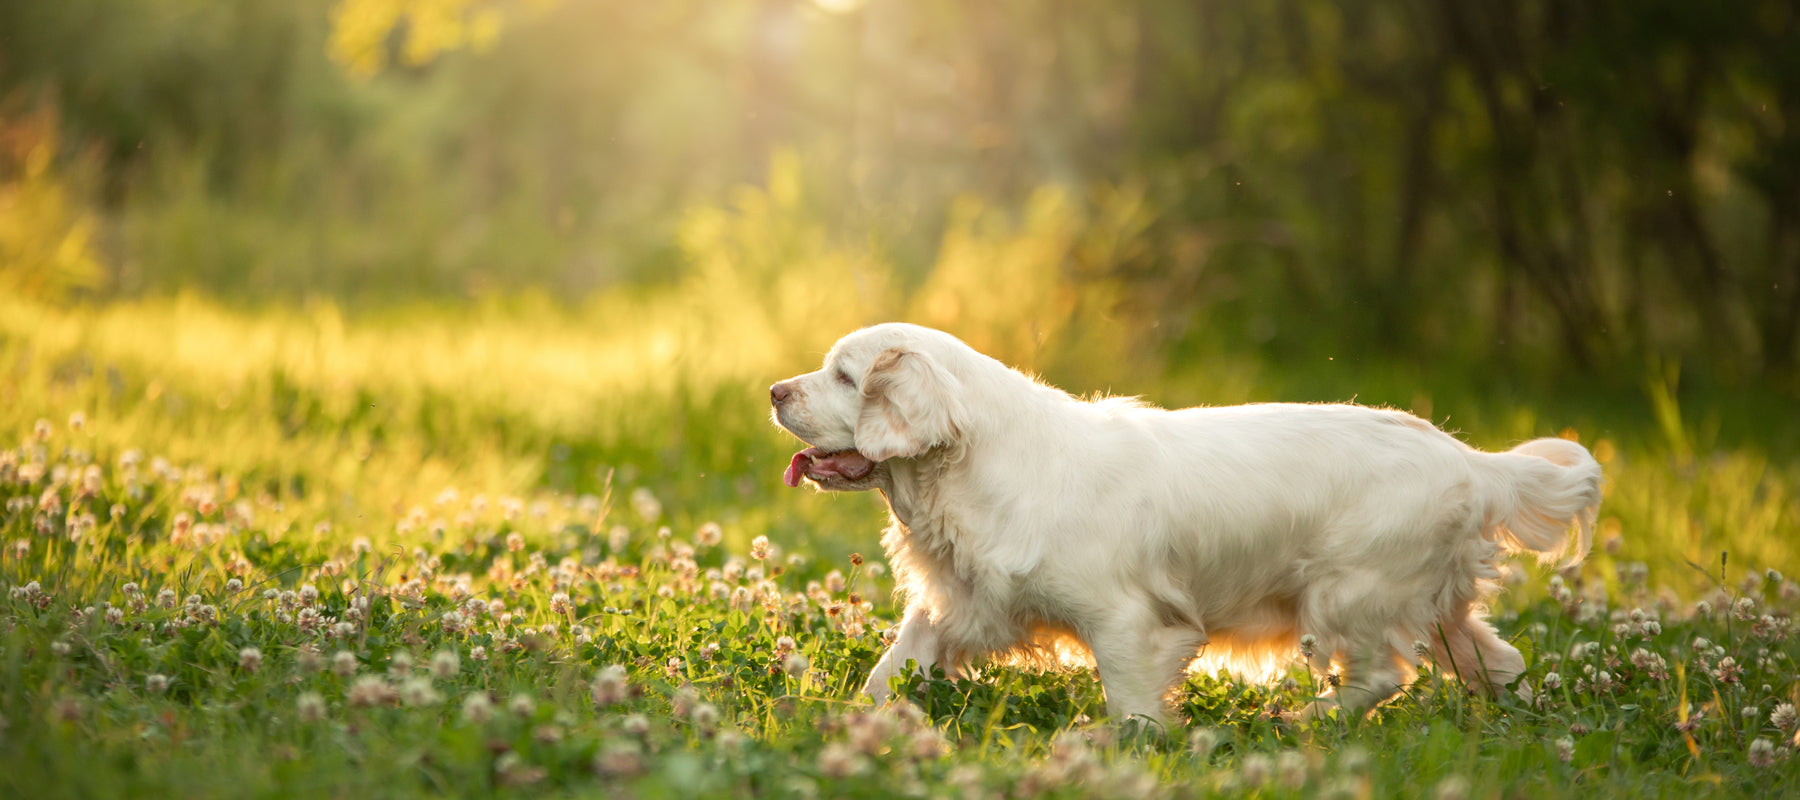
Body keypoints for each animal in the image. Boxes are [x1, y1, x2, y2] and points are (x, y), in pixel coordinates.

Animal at [770, 322, 1605, 720]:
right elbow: (890, 669)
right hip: (1438, 609)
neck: (973, 468)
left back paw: (1303, 720)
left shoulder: (1128, 622)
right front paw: (847, 722)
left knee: (1378, 678)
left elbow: (1132, 706)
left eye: (845, 375)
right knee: (1500, 663)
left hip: (1348, 598)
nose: (775, 390)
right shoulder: (966, 603)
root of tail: (1474, 462)